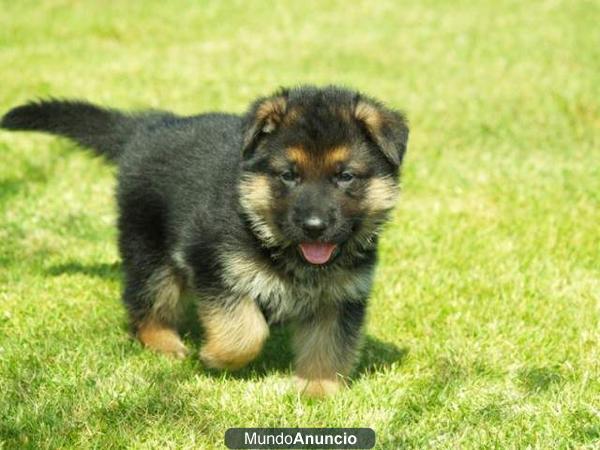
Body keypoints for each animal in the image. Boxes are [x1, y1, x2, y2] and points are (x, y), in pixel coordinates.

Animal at [1, 86, 408, 396]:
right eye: (288, 175)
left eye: (345, 176)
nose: (314, 227)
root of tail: (150, 127)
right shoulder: (213, 265)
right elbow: (246, 331)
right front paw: (216, 358)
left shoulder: (339, 299)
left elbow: (329, 347)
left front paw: (318, 391)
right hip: (151, 252)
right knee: (144, 300)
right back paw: (163, 342)